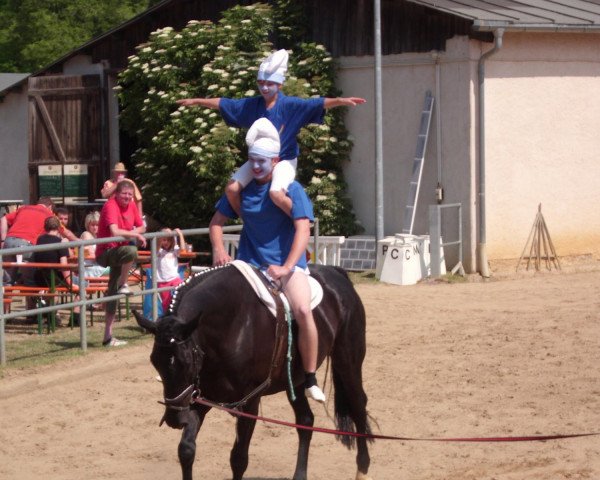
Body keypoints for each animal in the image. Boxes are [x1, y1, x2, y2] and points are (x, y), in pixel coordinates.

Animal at [134, 264, 372, 478]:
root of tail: (335, 273)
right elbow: (186, 450)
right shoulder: (198, 398)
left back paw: (363, 468)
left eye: (187, 362)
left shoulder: (250, 402)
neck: (231, 326)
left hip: (347, 362)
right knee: (305, 420)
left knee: (358, 405)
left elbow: (238, 459)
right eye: (154, 362)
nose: (175, 419)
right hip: (294, 380)